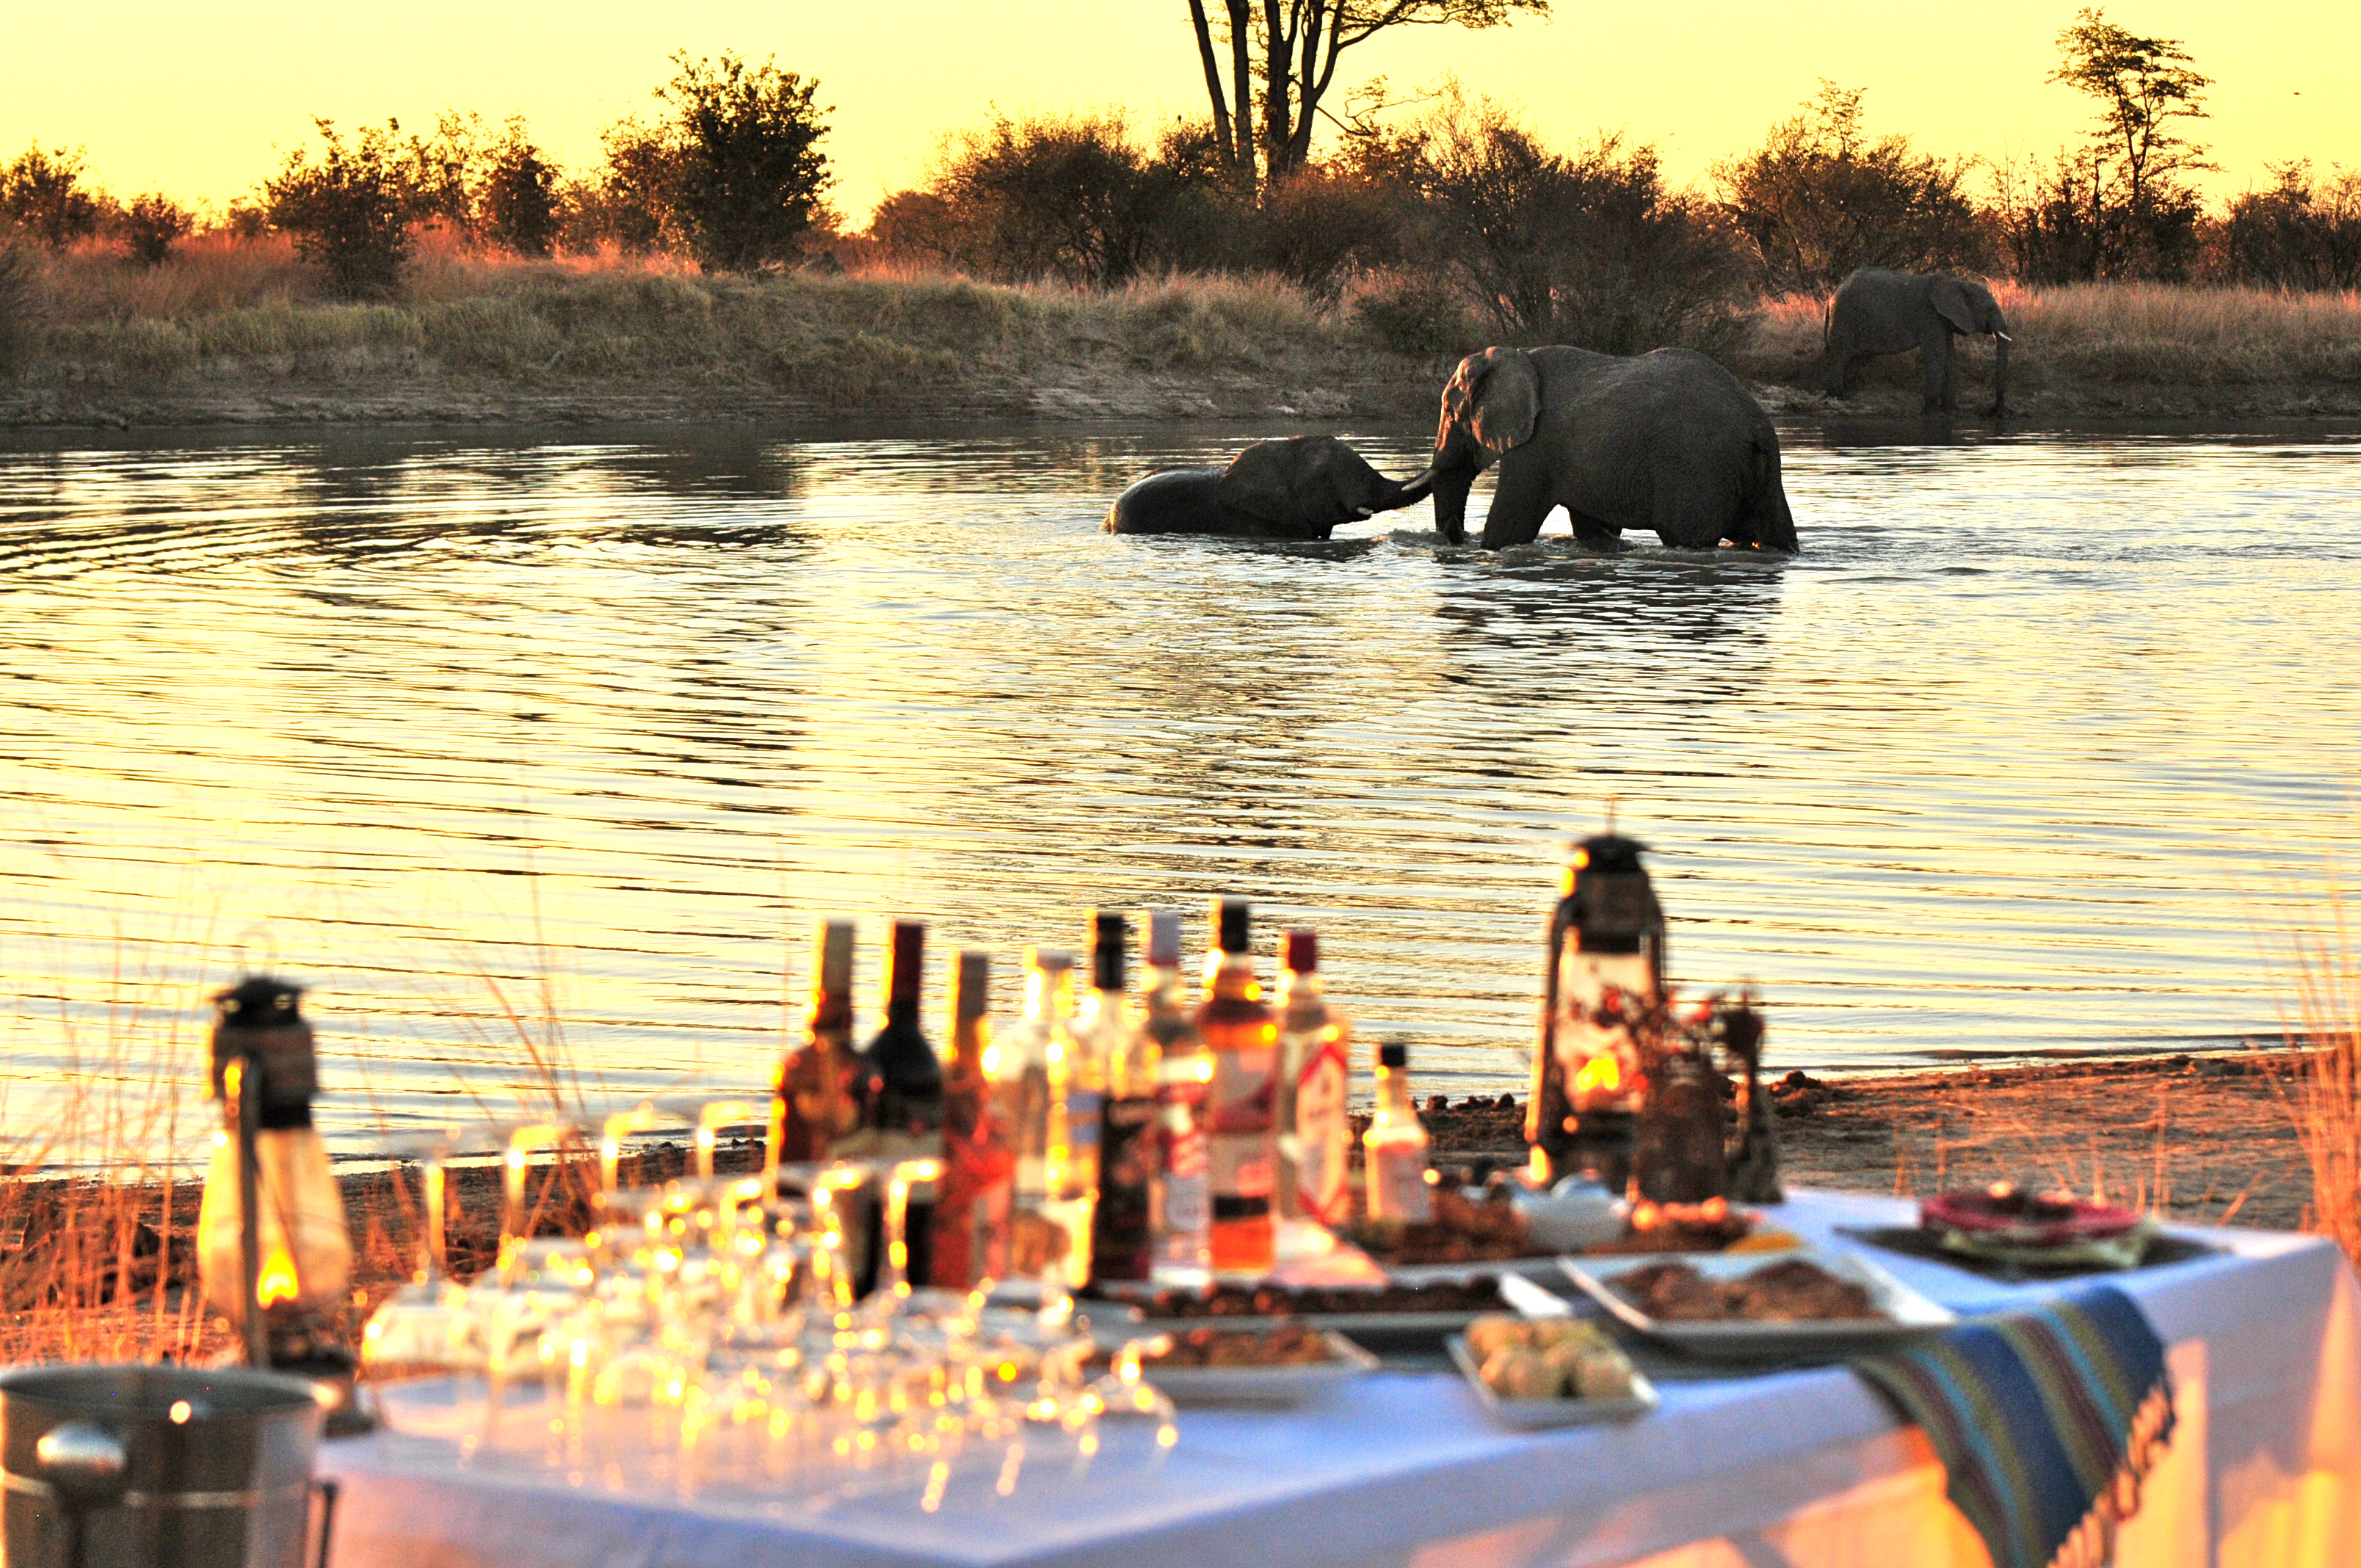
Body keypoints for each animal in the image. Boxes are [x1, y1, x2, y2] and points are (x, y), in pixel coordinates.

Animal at [1428, 346, 1800, 553]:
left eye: (1449, 411)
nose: (1456, 534)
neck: (1518, 357)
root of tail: (1757, 430)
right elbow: (1592, 527)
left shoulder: (1535, 446)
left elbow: (1510, 527)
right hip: (1761, 472)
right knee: (1776, 536)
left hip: (1699, 469)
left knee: (1689, 538)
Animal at [1820, 268, 2011, 416]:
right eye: (1990, 309)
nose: (1994, 411)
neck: (1958, 284)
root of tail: (1833, 293)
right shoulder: (1930, 317)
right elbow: (1936, 356)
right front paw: (1931, 413)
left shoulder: (1944, 320)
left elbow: (1950, 357)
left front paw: (1953, 411)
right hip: (1844, 314)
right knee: (1840, 354)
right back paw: (1837, 398)